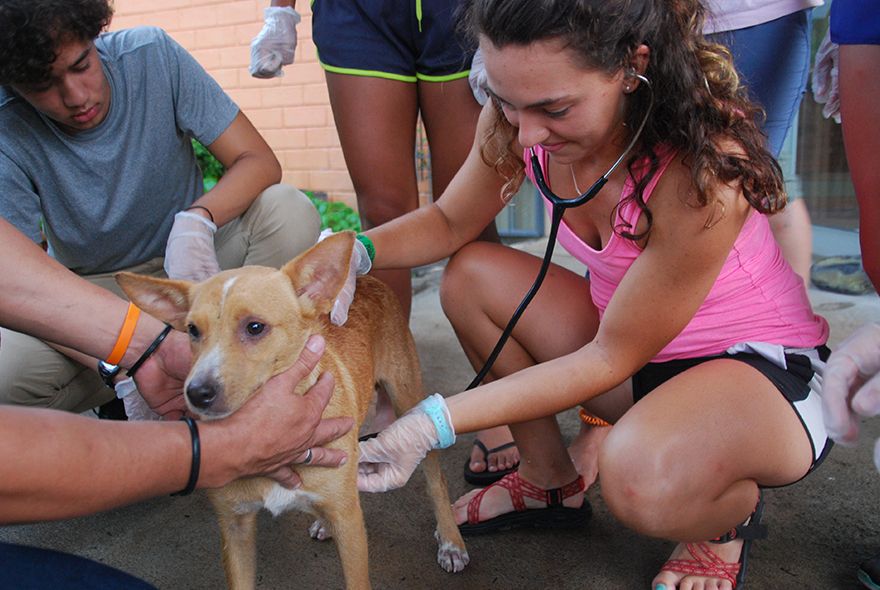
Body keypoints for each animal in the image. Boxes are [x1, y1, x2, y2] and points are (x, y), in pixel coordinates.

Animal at [122, 234, 474, 590]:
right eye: (193, 330)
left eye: (254, 327)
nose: (197, 393)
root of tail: (367, 279)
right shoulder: (235, 527)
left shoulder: (350, 525)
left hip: (407, 395)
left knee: (435, 476)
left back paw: (450, 539)